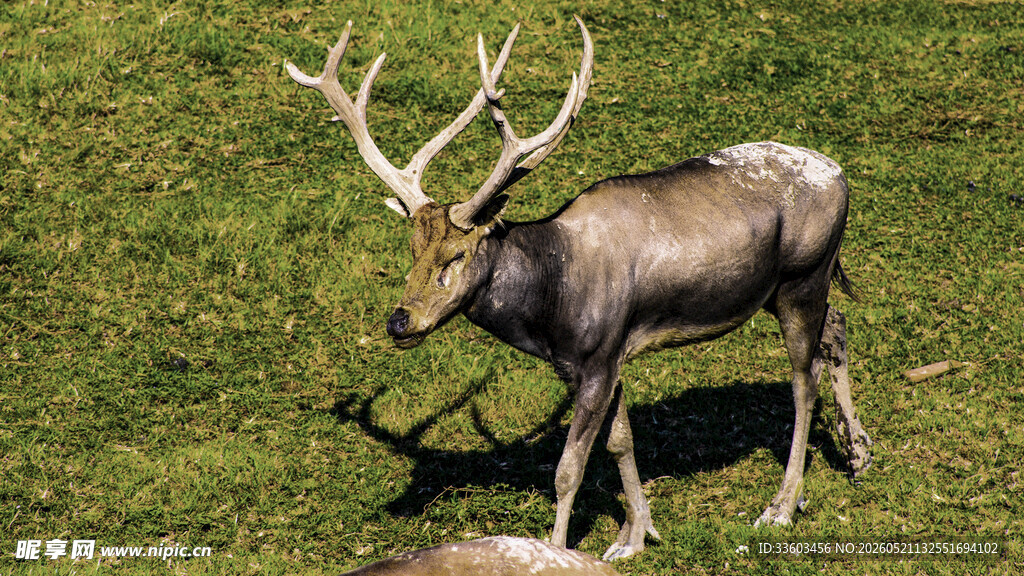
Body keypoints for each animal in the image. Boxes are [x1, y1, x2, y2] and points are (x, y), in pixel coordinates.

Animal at [285, 16, 873, 561]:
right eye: (412, 250)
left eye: (456, 255)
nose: (400, 321)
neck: (550, 307)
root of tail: (841, 175)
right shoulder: (586, 363)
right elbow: (620, 441)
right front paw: (636, 534)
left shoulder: (599, 354)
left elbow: (569, 468)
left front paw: (561, 546)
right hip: (793, 286)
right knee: (838, 325)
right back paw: (859, 453)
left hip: (803, 276)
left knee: (803, 379)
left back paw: (782, 505)